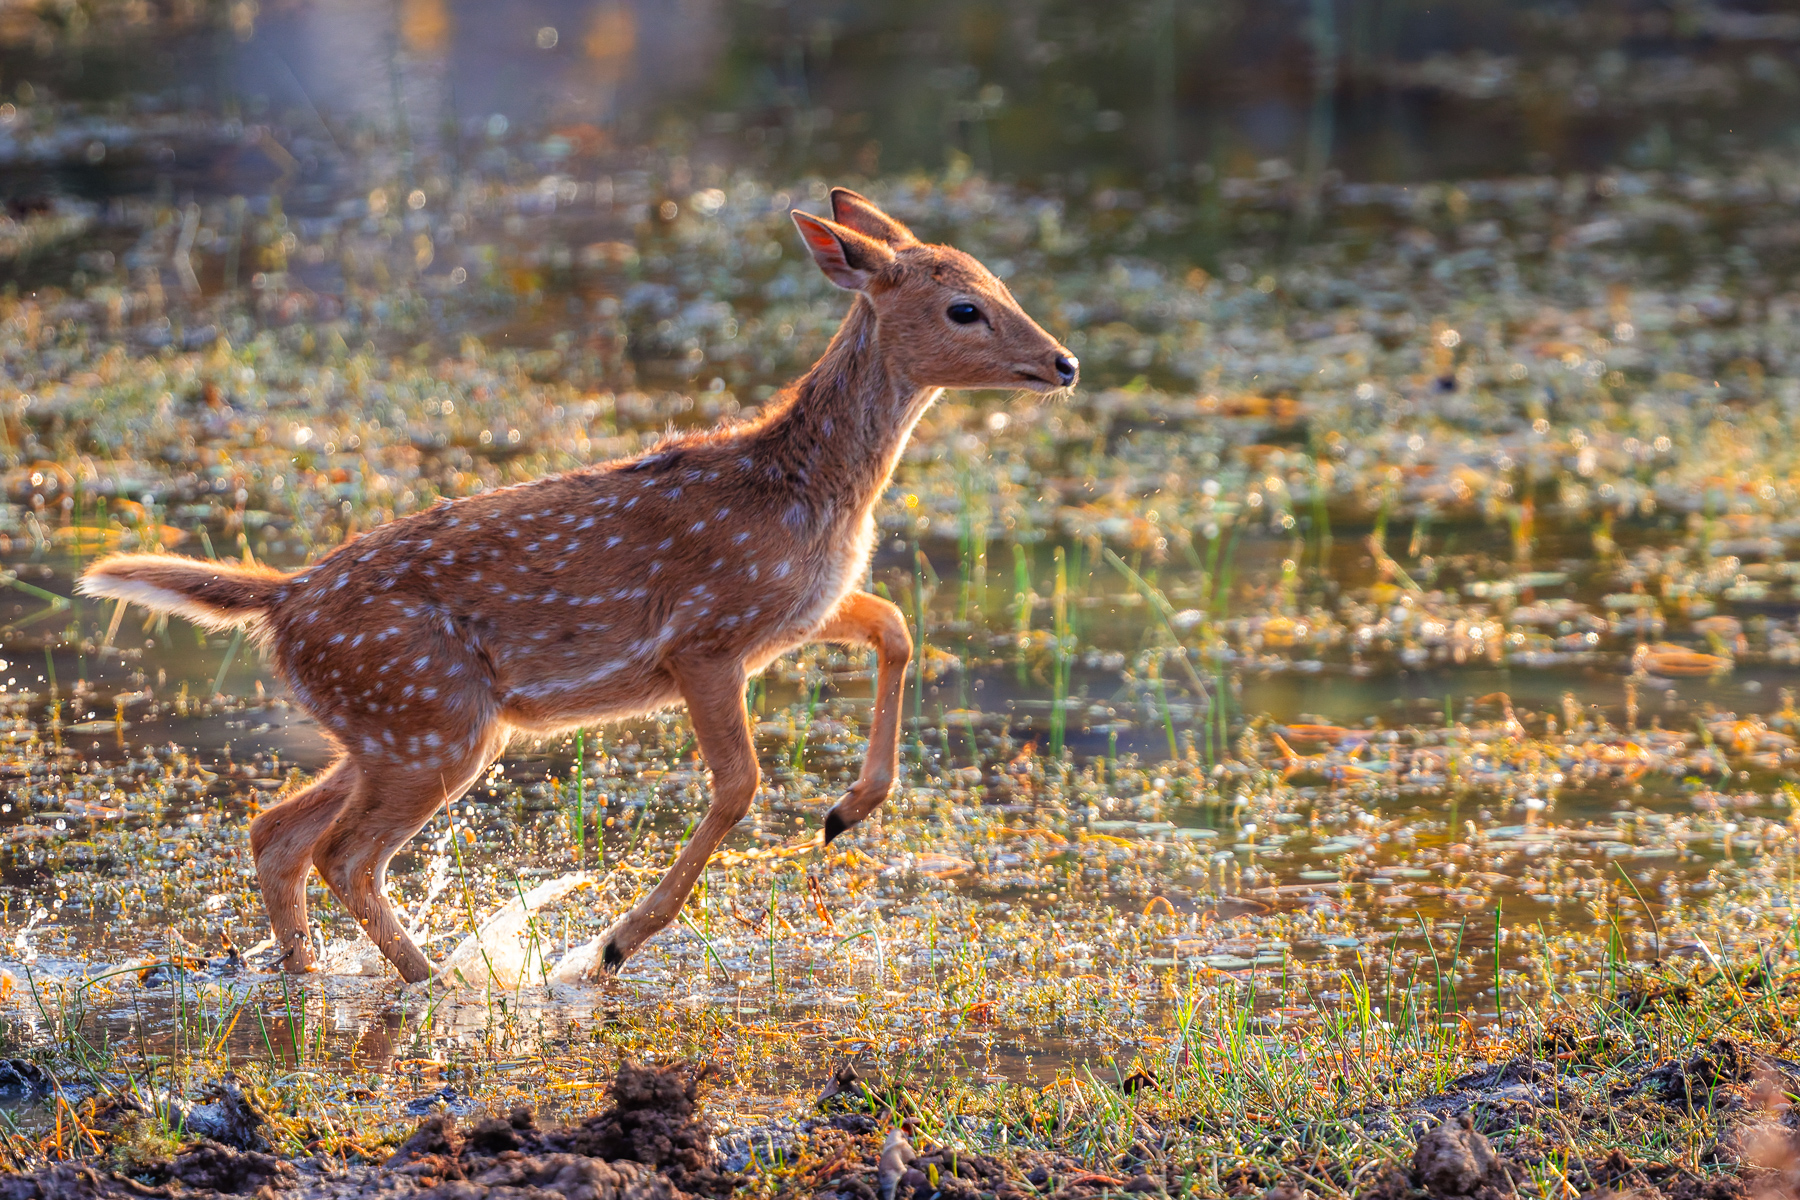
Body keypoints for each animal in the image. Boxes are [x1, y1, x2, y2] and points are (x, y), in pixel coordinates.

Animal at [77, 188, 1078, 983]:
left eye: (1000, 284)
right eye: (963, 308)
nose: (1064, 362)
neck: (809, 490)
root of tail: (281, 598)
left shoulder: (794, 615)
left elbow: (897, 625)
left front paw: (847, 810)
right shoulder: (706, 636)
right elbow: (739, 785)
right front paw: (612, 944)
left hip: (389, 728)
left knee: (277, 831)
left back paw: (316, 973)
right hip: (431, 721)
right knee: (342, 854)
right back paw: (439, 981)